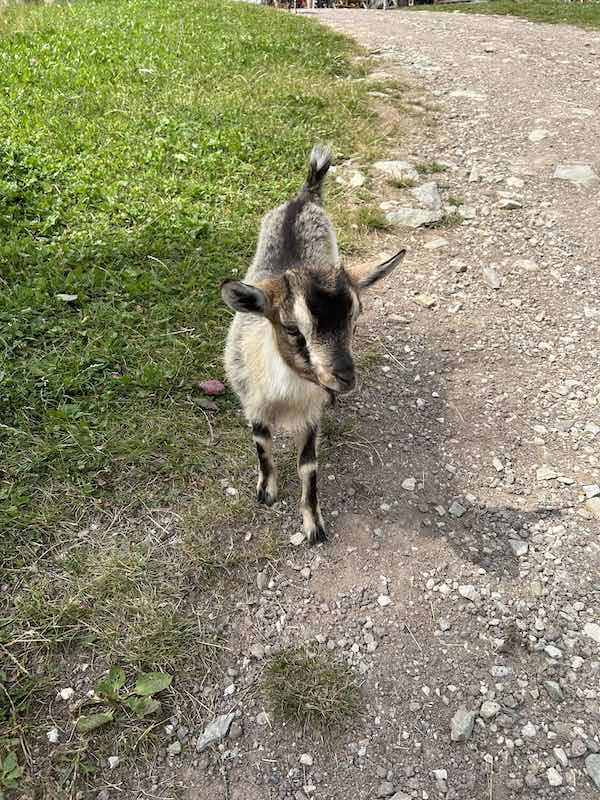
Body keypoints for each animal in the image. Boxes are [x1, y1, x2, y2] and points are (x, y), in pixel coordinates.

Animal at [218, 145, 406, 544]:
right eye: (291, 328)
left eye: (356, 318)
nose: (345, 377)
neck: (286, 392)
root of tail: (306, 196)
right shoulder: (252, 404)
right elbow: (262, 446)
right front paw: (267, 492)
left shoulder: (310, 416)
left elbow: (308, 466)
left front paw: (313, 525)